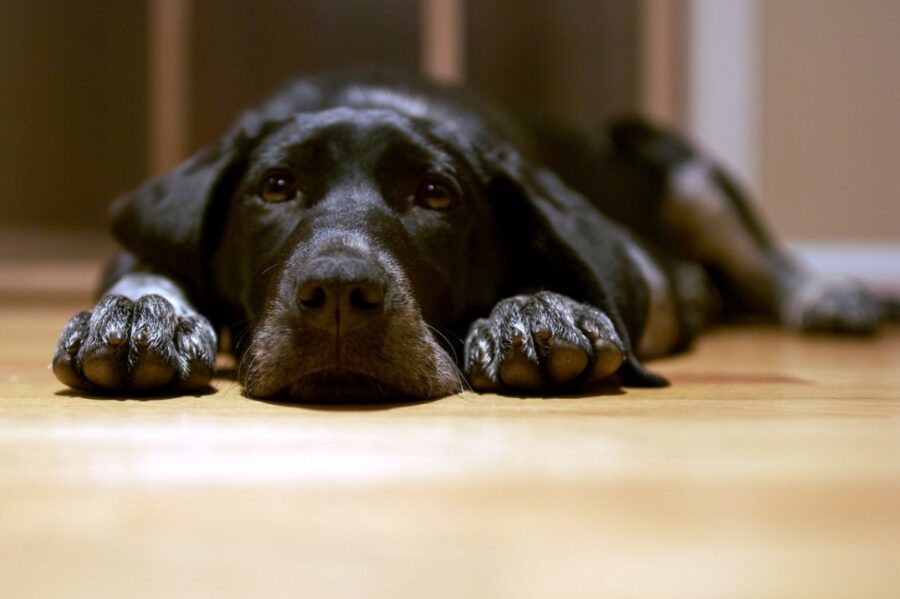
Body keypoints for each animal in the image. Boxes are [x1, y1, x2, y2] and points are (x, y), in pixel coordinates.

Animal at [54, 70, 892, 400]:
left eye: (435, 194)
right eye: (276, 186)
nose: (338, 296)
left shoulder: (637, 265)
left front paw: (534, 311)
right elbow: (146, 271)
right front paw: (139, 317)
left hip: (683, 172)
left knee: (771, 263)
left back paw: (835, 294)